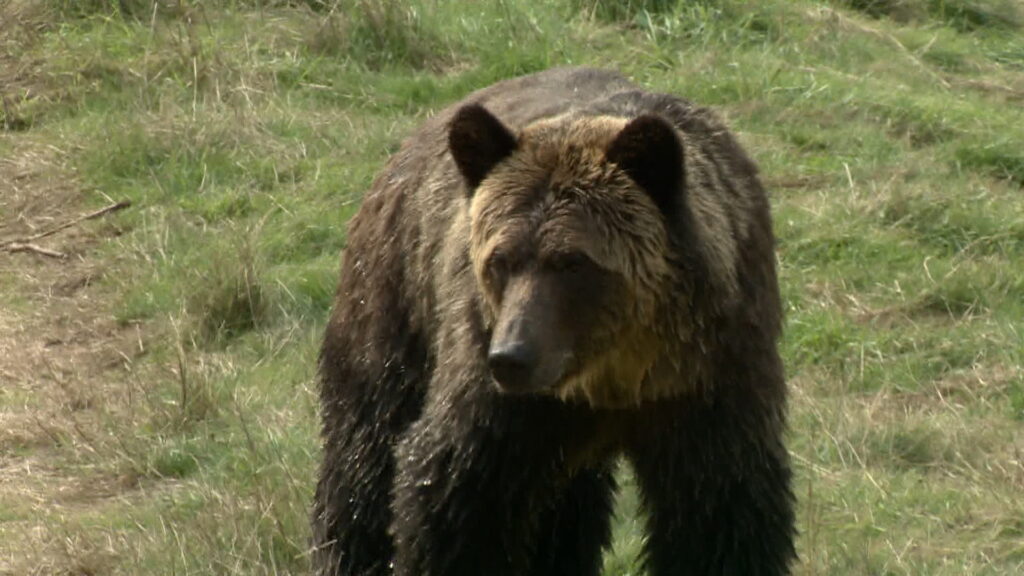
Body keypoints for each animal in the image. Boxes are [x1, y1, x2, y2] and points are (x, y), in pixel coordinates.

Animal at [312, 67, 796, 576]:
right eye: (500, 259)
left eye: (572, 262)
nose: (512, 357)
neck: (615, 373)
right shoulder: (498, 394)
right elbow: (455, 491)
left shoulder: (710, 378)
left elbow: (719, 511)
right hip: (396, 302)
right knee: (365, 452)